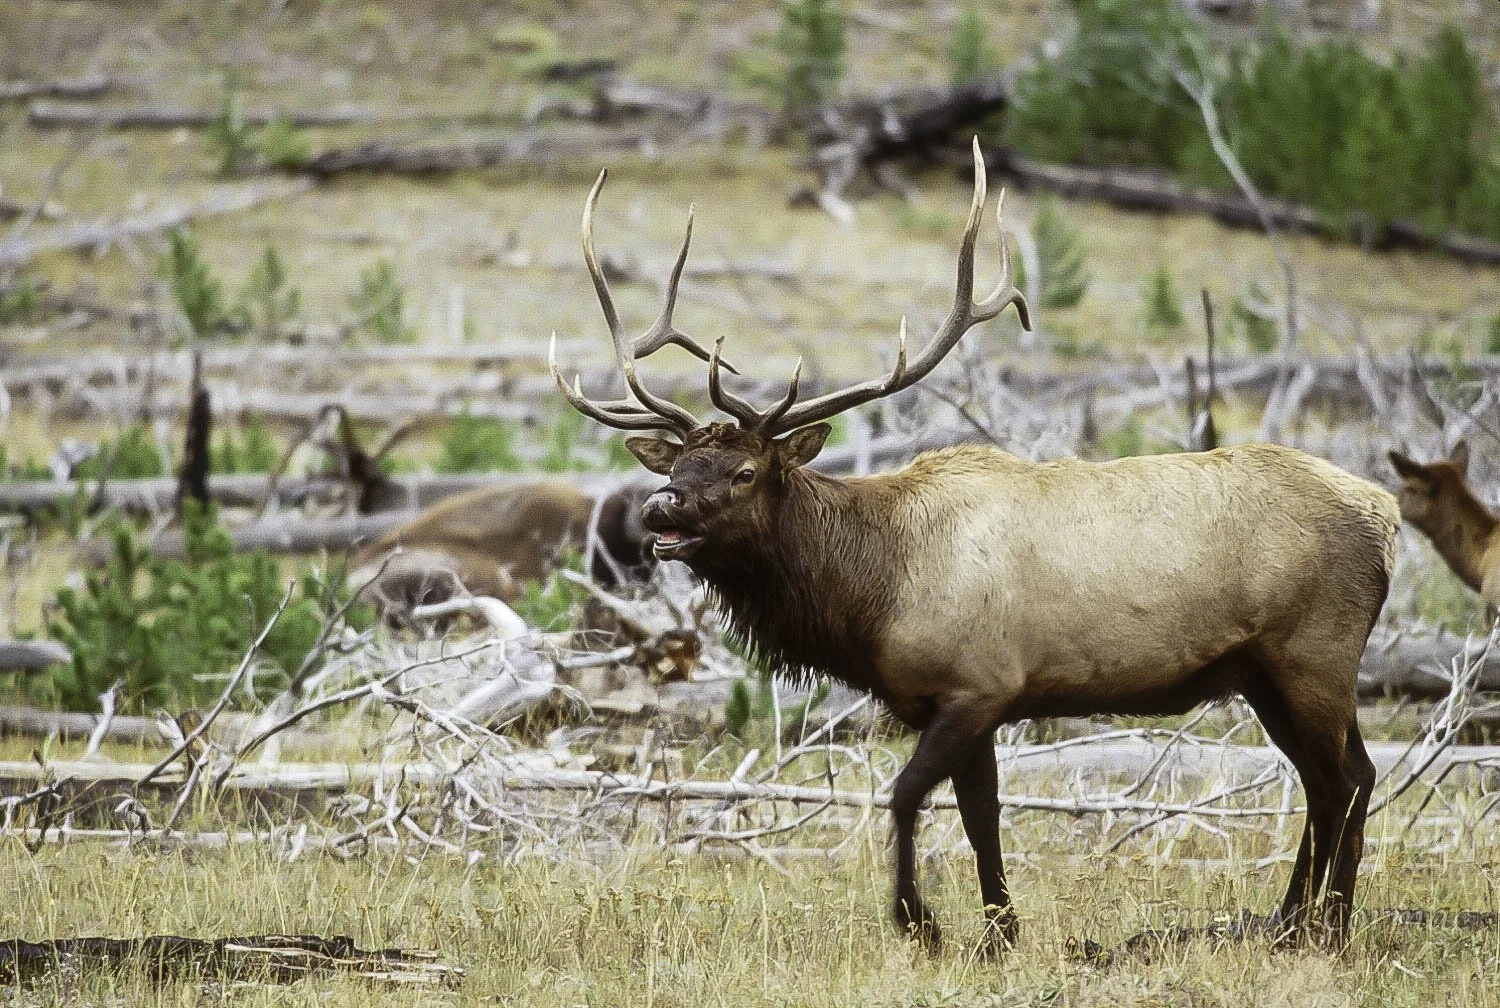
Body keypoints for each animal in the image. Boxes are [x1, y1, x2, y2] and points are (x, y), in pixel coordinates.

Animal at [549, 139, 1400, 953]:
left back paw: (1332, 928)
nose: (658, 508)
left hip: (1312, 652)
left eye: (745, 471)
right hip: (1262, 671)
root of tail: (1388, 516)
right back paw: (1291, 921)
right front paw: (1000, 931)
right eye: (677, 467)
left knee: (1344, 777)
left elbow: (906, 796)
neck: (871, 597)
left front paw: (918, 922)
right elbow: (979, 815)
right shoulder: (966, 700)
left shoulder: (978, 683)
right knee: (1335, 778)